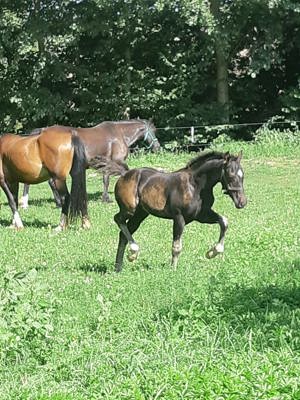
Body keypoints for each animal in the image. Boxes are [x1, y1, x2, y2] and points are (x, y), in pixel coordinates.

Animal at [19, 119, 161, 208]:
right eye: (153, 131)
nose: (157, 147)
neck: (119, 134)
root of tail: (41, 132)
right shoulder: (117, 161)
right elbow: (124, 173)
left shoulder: (107, 164)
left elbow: (106, 179)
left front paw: (105, 198)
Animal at [112, 151, 246, 272]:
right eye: (230, 175)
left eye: (242, 175)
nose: (242, 202)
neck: (195, 186)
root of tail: (123, 176)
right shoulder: (179, 217)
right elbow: (176, 246)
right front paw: (173, 270)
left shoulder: (202, 215)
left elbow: (224, 221)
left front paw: (213, 252)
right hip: (130, 209)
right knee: (117, 219)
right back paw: (133, 250)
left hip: (140, 214)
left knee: (123, 234)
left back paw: (119, 266)